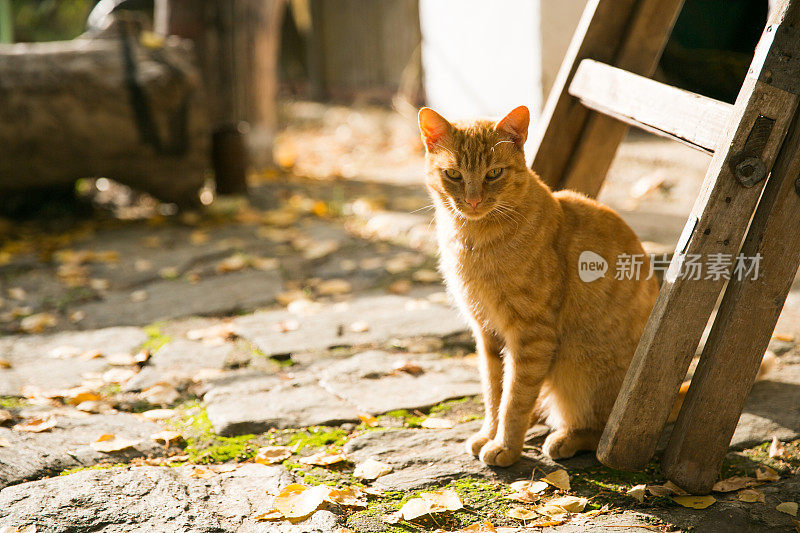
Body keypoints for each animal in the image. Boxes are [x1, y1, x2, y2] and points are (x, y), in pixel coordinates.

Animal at [418, 106, 656, 464]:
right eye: (454, 175)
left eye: (494, 173)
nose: (473, 201)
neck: (473, 241)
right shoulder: (487, 334)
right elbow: (494, 392)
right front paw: (488, 434)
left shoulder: (531, 337)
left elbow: (514, 398)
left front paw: (505, 447)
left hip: (583, 371)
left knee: (602, 431)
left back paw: (566, 439)